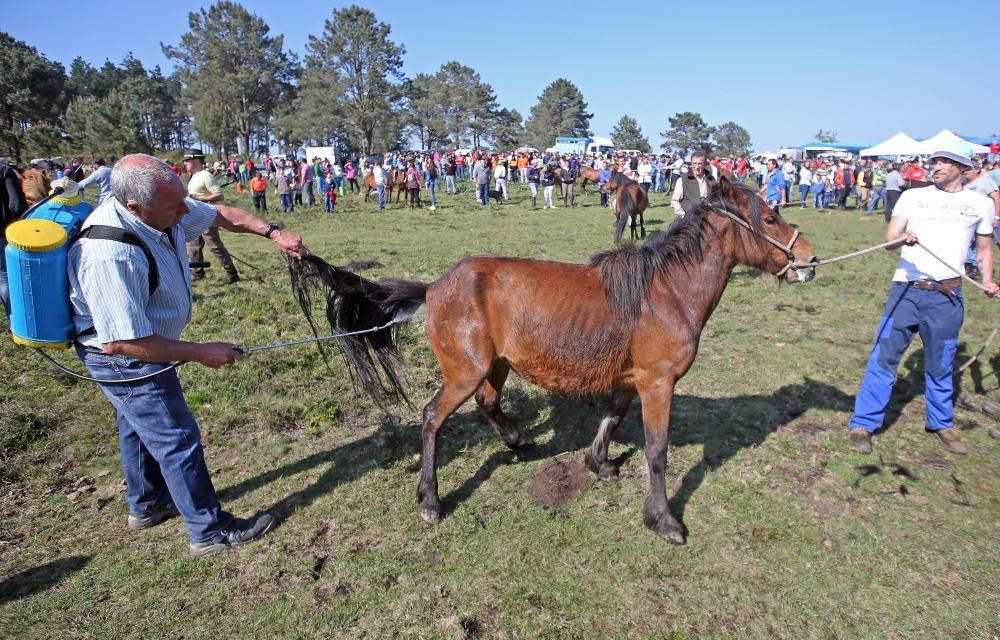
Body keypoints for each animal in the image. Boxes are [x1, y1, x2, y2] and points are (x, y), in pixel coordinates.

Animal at [294, 176, 812, 544]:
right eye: (769, 218)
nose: (808, 258)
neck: (665, 292)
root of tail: (435, 287)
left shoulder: (631, 380)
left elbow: (611, 419)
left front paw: (599, 464)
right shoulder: (658, 382)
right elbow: (657, 451)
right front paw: (662, 519)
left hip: (496, 366)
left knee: (489, 404)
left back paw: (521, 442)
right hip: (464, 372)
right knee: (431, 419)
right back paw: (430, 500)